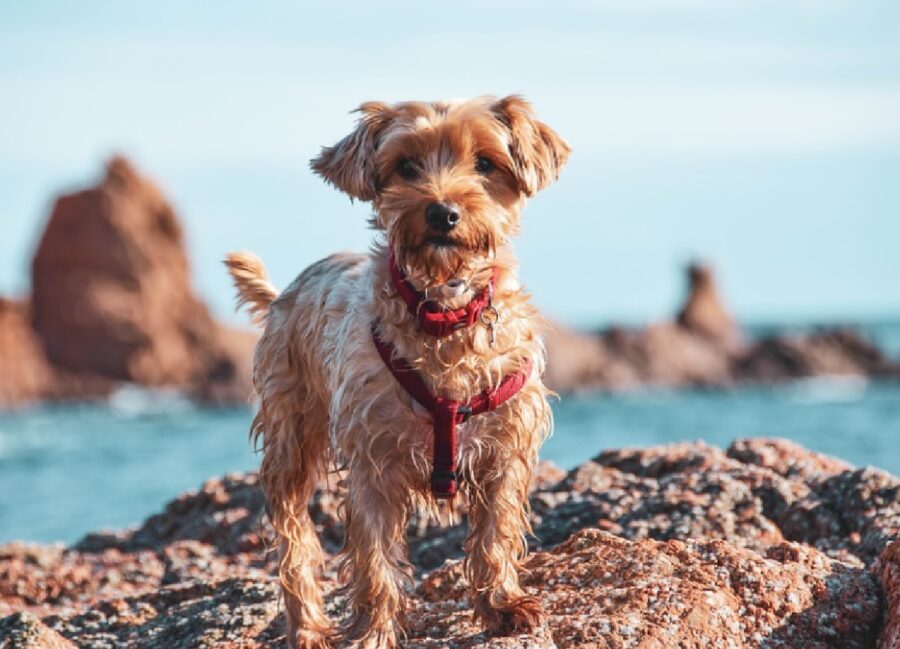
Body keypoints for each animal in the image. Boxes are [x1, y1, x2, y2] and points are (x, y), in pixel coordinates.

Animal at [225, 93, 568, 644]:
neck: (443, 312)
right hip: (290, 434)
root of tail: (282, 294)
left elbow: (495, 534)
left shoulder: (505, 448)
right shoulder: (373, 461)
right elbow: (374, 559)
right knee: (293, 536)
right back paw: (309, 627)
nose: (443, 211)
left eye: (486, 163)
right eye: (406, 165)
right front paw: (374, 630)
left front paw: (502, 606)